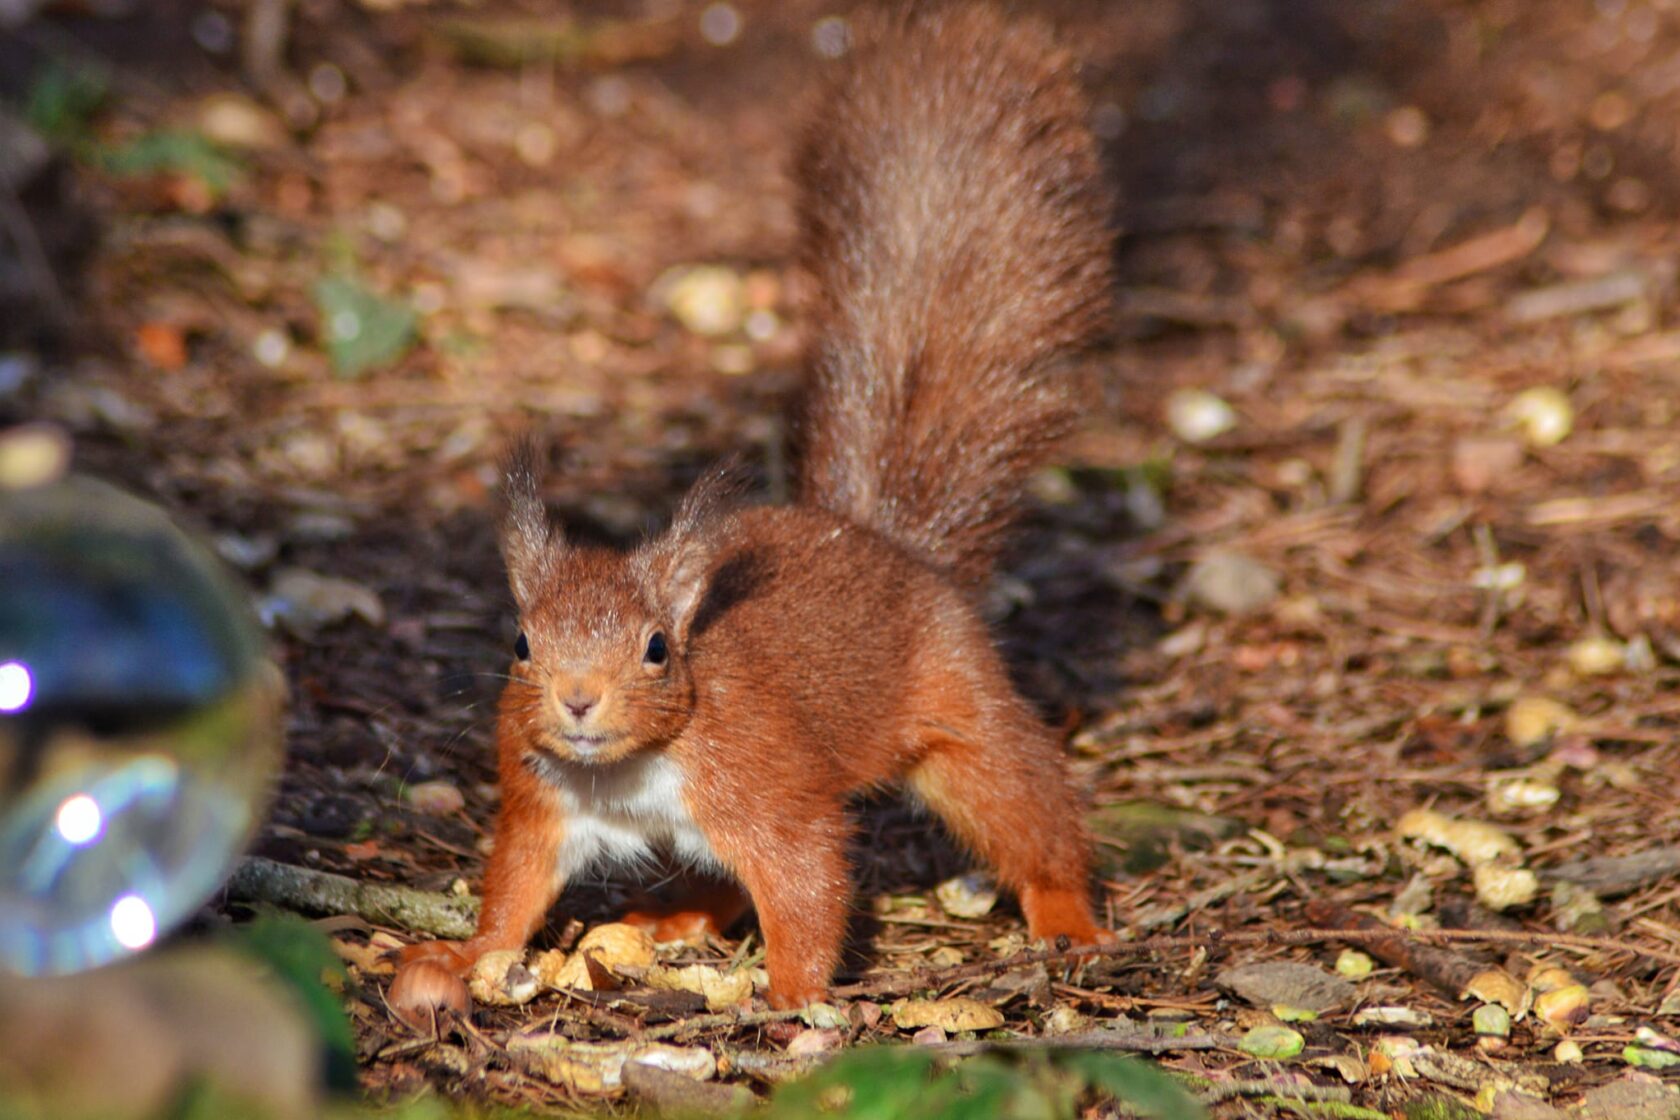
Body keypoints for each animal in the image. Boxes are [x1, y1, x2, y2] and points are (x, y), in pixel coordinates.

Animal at [393, 2, 1115, 1014]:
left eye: (658, 648)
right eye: (522, 642)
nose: (577, 699)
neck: (627, 770)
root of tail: (881, 541)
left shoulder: (765, 783)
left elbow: (806, 878)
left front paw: (791, 998)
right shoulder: (541, 800)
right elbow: (515, 888)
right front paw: (463, 956)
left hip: (960, 704)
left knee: (1023, 803)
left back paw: (1068, 915)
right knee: (716, 879)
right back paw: (673, 920)